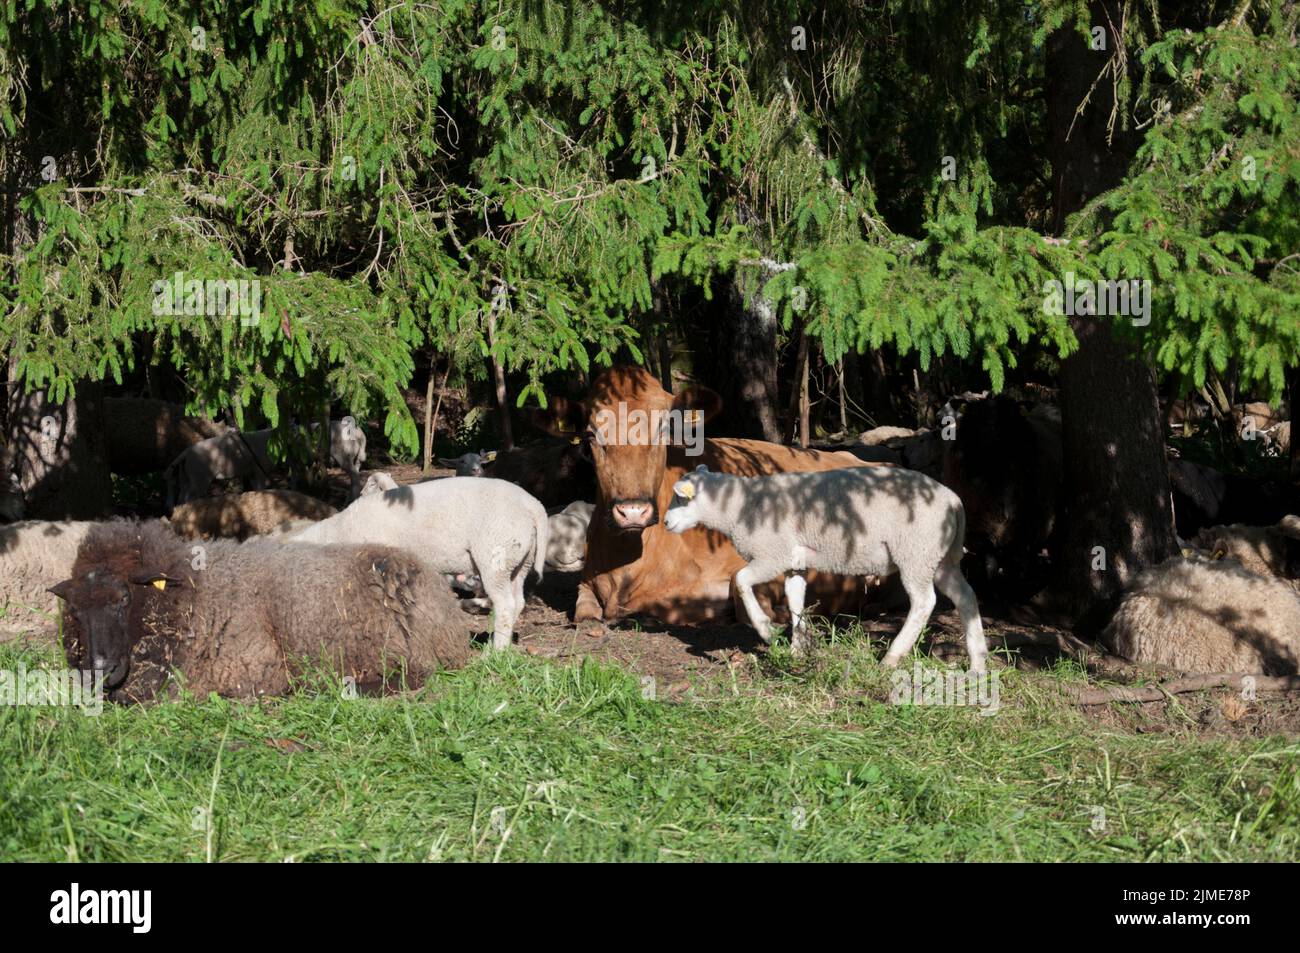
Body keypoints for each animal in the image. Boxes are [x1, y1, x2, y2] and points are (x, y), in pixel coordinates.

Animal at [48, 519, 473, 702]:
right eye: (75, 611)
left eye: (123, 599)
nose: (100, 670)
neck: (190, 593)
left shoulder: (249, 667)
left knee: (413, 675)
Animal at [288, 477, 549, 650]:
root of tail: (533, 506)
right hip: (519, 561)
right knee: (518, 601)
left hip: (495, 555)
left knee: (504, 605)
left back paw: (495, 653)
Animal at [662, 464, 987, 670]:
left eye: (679, 497)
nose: (665, 523)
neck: (739, 507)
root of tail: (954, 500)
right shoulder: (793, 562)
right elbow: (795, 601)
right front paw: (798, 649)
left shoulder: (772, 553)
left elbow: (740, 580)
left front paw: (767, 631)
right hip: (940, 556)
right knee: (966, 597)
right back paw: (978, 662)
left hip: (915, 552)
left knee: (924, 602)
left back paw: (892, 658)